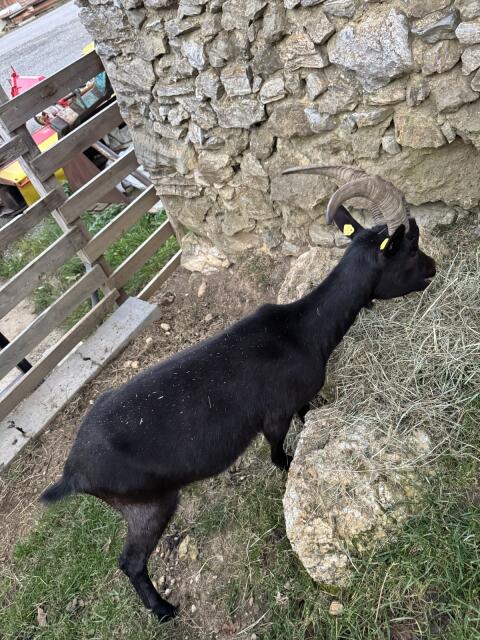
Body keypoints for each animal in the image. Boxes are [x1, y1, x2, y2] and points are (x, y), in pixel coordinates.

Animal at [40, 166, 436, 621]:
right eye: (410, 248)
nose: (434, 267)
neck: (303, 330)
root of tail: (73, 471)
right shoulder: (274, 416)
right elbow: (278, 451)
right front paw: (287, 467)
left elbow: (307, 411)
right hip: (148, 505)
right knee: (131, 561)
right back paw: (163, 609)